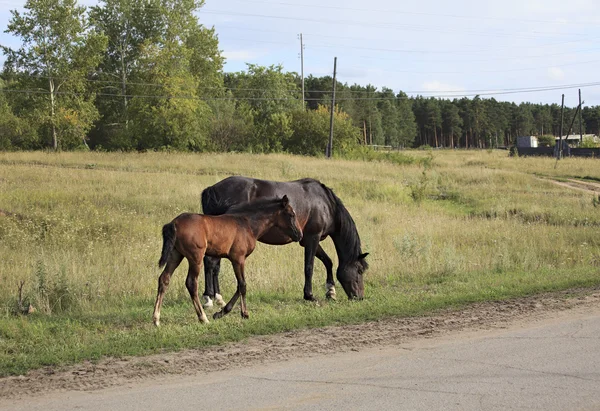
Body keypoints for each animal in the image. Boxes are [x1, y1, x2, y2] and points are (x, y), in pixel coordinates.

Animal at [152, 196, 302, 328]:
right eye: (291, 214)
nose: (299, 234)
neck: (247, 224)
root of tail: (174, 223)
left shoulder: (237, 259)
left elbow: (239, 286)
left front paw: (221, 312)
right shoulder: (238, 258)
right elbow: (242, 285)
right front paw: (242, 313)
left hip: (175, 254)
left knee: (164, 279)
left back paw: (156, 319)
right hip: (195, 257)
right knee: (191, 283)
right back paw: (203, 318)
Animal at [200, 175, 366, 304]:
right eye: (360, 270)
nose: (360, 297)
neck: (325, 204)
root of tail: (212, 189)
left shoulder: (307, 239)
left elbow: (328, 261)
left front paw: (331, 291)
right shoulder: (313, 237)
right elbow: (309, 267)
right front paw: (309, 295)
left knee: (213, 265)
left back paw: (216, 297)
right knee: (211, 263)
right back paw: (210, 298)